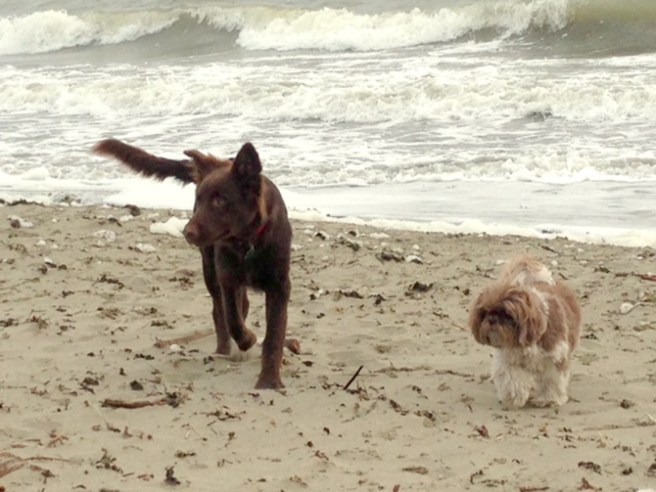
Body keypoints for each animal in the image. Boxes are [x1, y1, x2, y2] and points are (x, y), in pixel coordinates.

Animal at [94, 139, 292, 389]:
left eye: (219, 200)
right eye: (199, 200)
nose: (187, 233)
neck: (248, 243)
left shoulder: (279, 285)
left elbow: (274, 334)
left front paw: (269, 381)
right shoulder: (227, 277)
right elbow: (232, 318)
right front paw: (247, 340)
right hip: (209, 267)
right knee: (219, 311)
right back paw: (224, 350)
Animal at [469, 255, 581, 408]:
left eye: (506, 314)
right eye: (485, 312)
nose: (492, 320)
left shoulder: (554, 359)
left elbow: (551, 381)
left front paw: (550, 399)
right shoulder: (509, 361)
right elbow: (512, 379)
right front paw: (514, 398)